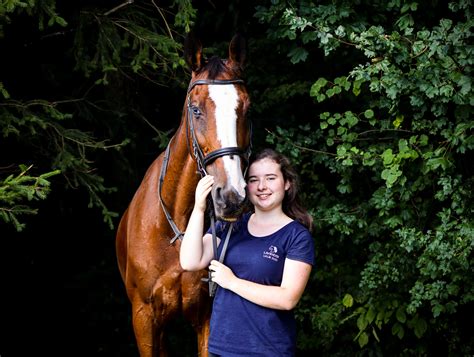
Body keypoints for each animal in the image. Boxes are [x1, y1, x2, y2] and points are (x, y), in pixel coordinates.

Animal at [115, 32, 252, 354]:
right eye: (196, 109)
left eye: (246, 108)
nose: (231, 196)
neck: (176, 228)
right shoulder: (144, 319)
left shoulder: (206, 316)